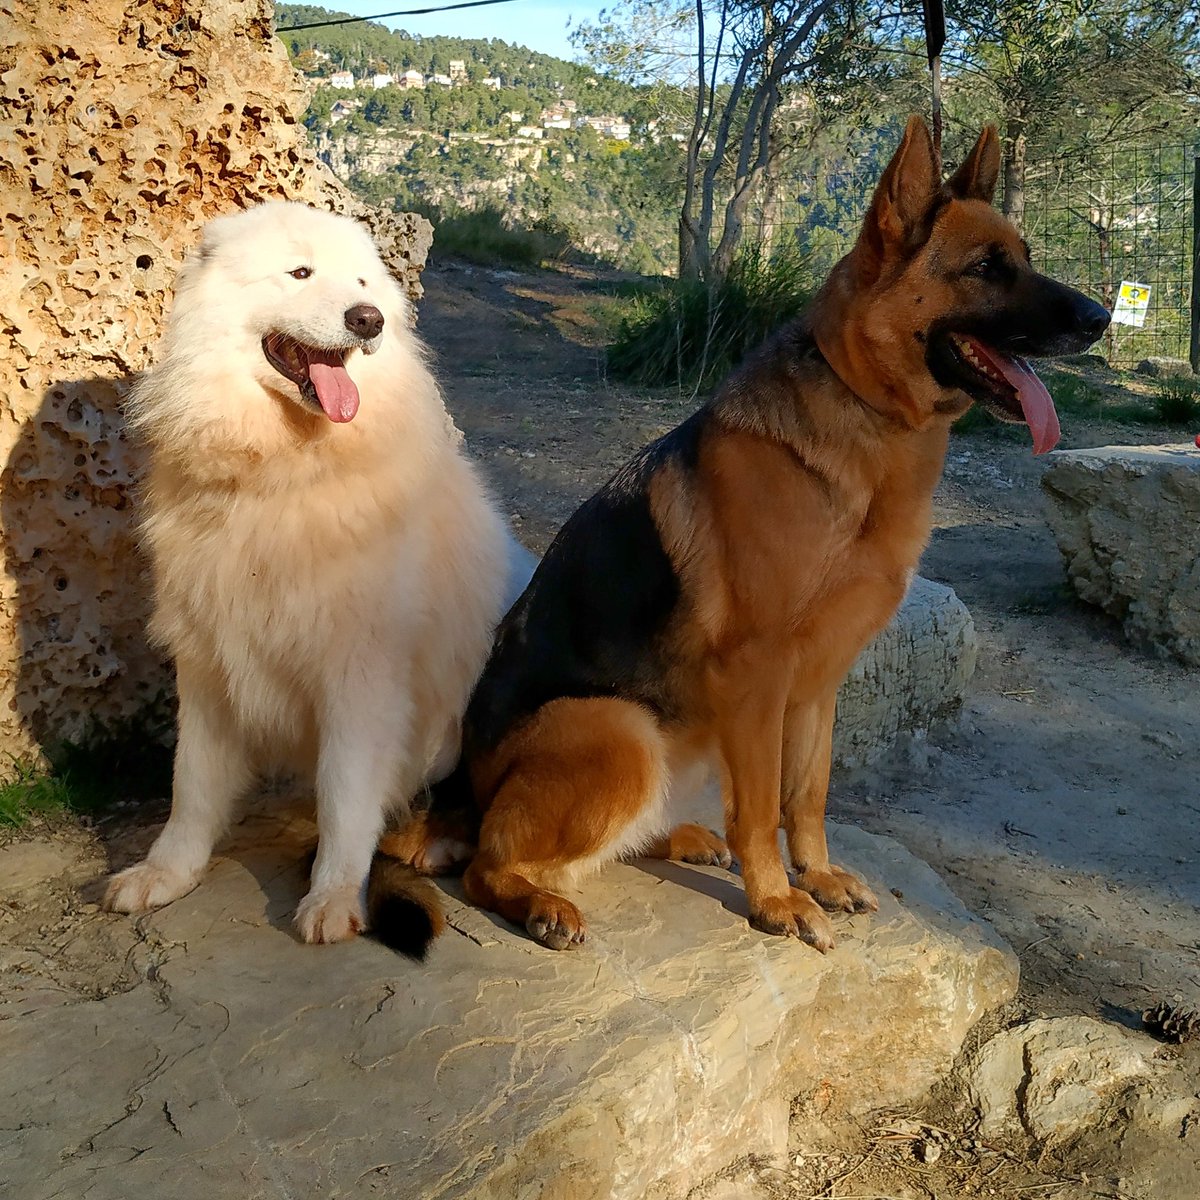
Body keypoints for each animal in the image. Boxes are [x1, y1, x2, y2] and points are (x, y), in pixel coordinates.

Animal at [104, 204, 530, 945]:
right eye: (300, 273)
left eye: (361, 281)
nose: (368, 319)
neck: (280, 472)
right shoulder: (208, 660)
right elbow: (192, 789)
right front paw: (165, 875)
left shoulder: (360, 678)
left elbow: (344, 797)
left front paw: (333, 898)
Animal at [388, 117, 1108, 950]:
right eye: (988, 268)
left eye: (1024, 257)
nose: (1102, 318)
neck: (867, 418)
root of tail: (457, 797)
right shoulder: (760, 676)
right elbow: (763, 805)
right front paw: (776, 900)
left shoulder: (820, 682)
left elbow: (807, 794)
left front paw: (817, 876)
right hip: (620, 730)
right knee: (488, 864)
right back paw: (541, 903)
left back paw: (679, 838)